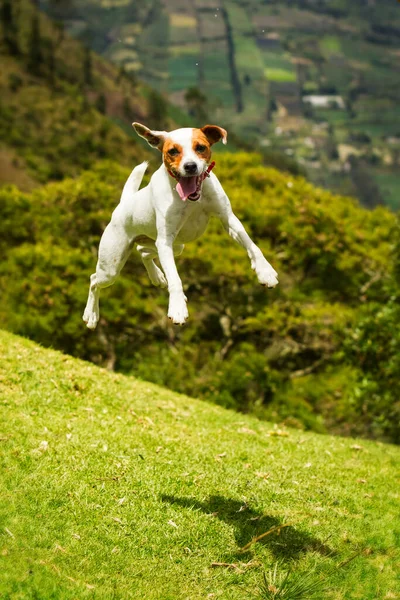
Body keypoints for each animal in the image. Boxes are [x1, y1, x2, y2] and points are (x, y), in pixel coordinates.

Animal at [83, 123, 278, 328]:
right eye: (173, 151)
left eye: (200, 147)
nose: (190, 166)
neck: (193, 199)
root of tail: (124, 203)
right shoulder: (165, 241)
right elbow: (175, 278)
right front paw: (177, 308)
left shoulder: (229, 220)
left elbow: (252, 245)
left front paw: (265, 271)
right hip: (112, 266)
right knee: (94, 280)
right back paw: (91, 314)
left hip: (175, 246)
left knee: (142, 251)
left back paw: (157, 276)